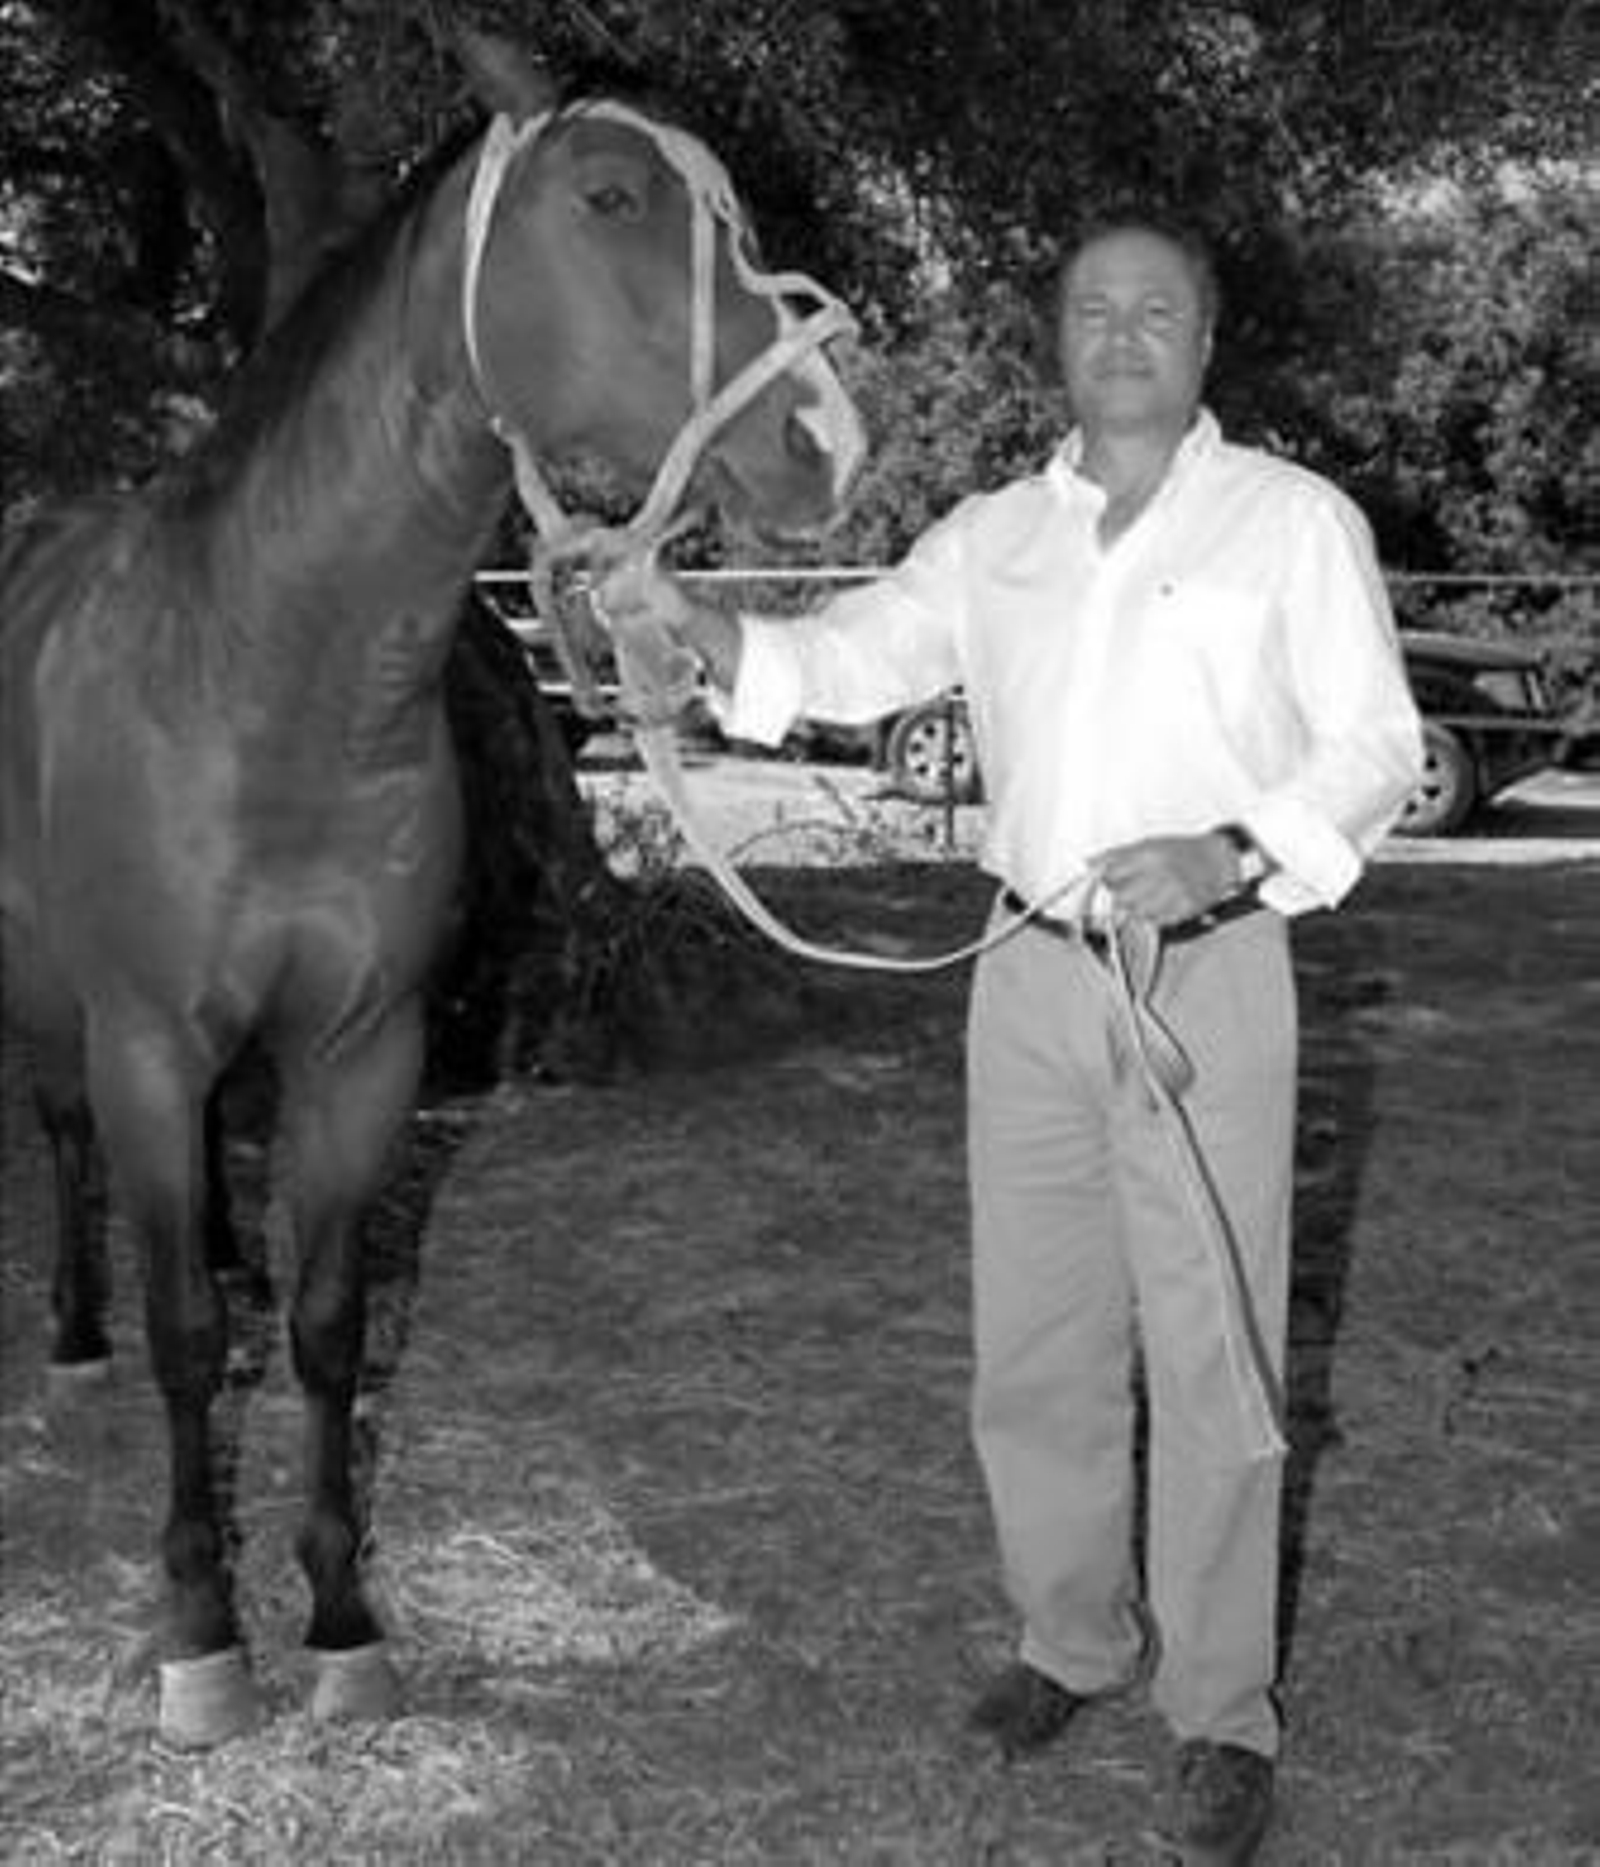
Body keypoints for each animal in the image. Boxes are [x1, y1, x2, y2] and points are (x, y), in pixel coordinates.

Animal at [0, 38, 864, 1749]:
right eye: (611, 197)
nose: (824, 433)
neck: (267, 678)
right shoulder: (147, 1042)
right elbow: (186, 1342)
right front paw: (201, 1630)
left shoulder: (365, 1049)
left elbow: (332, 1327)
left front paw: (339, 1615)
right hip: (54, 994)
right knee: (66, 1141)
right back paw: (72, 1338)